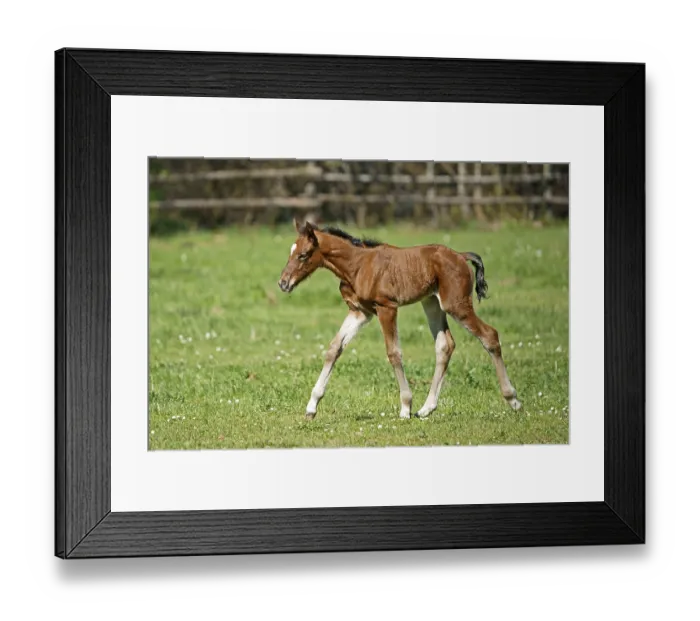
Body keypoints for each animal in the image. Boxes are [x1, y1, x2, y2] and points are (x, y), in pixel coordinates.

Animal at [278, 219, 521, 420]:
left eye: (303, 255)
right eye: (290, 253)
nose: (283, 283)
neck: (358, 264)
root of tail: (461, 255)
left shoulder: (387, 308)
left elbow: (394, 353)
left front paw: (405, 407)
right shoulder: (360, 312)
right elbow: (334, 348)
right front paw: (312, 406)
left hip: (456, 305)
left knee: (489, 335)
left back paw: (513, 399)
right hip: (432, 303)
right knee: (445, 345)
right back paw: (427, 408)